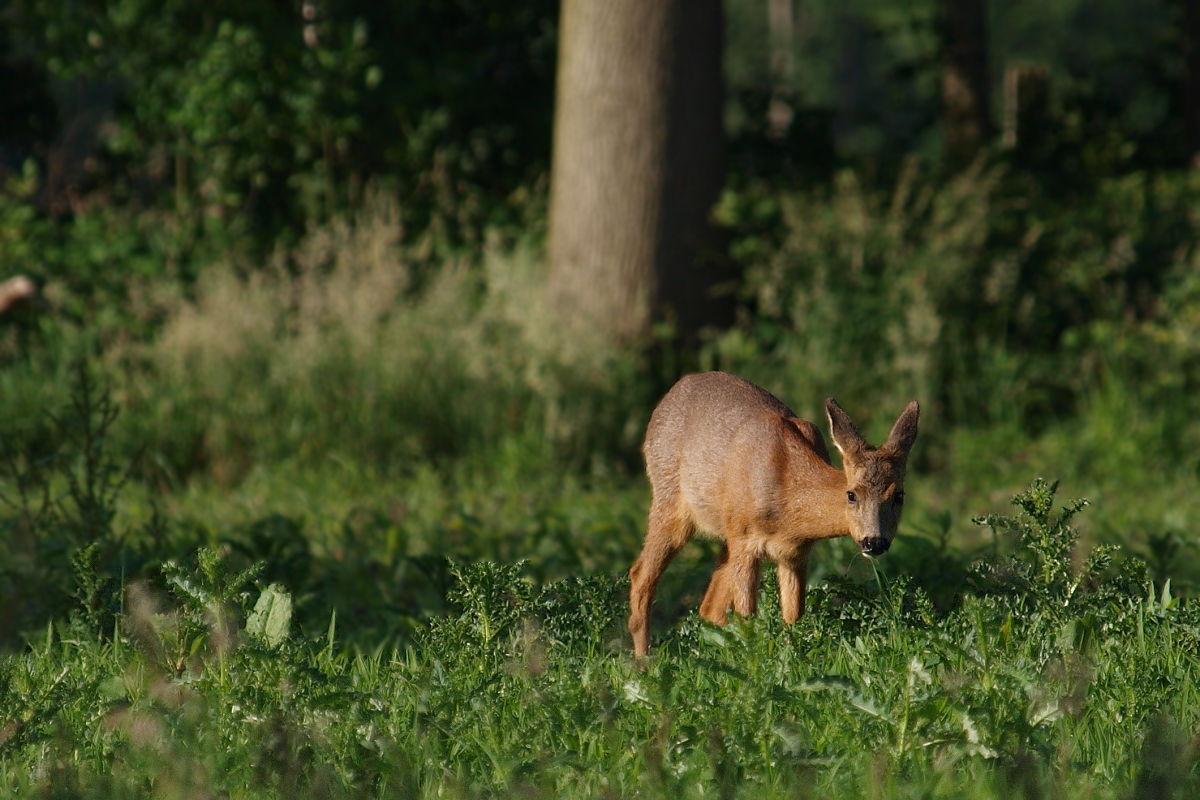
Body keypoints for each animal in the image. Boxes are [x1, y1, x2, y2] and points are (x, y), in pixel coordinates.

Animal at [628, 371, 916, 662]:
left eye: (899, 495)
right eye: (851, 494)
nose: (875, 542)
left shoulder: (795, 553)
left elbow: (793, 617)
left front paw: (792, 661)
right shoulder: (746, 542)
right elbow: (748, 619)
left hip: (726, 535)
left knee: (709, 608)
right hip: (671, 502)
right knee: (641, 574)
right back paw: (644, 662)